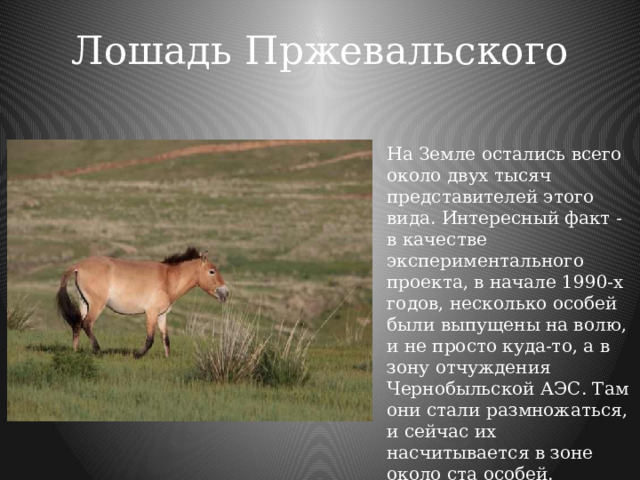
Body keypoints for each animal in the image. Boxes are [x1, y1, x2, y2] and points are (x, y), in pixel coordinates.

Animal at [56, 247, 229, 358]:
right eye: (212, 271)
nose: (226, 293)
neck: (167, 278)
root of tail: (78, 266)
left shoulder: (162, 315)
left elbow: (166, 339)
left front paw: (168, 359)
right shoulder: (151, 313)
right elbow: (150, 339)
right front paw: (137, 355)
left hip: (84, 303)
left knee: (78, 325)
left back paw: (75, 351)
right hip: (97, 305)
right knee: (87, 324)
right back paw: (98, 351)